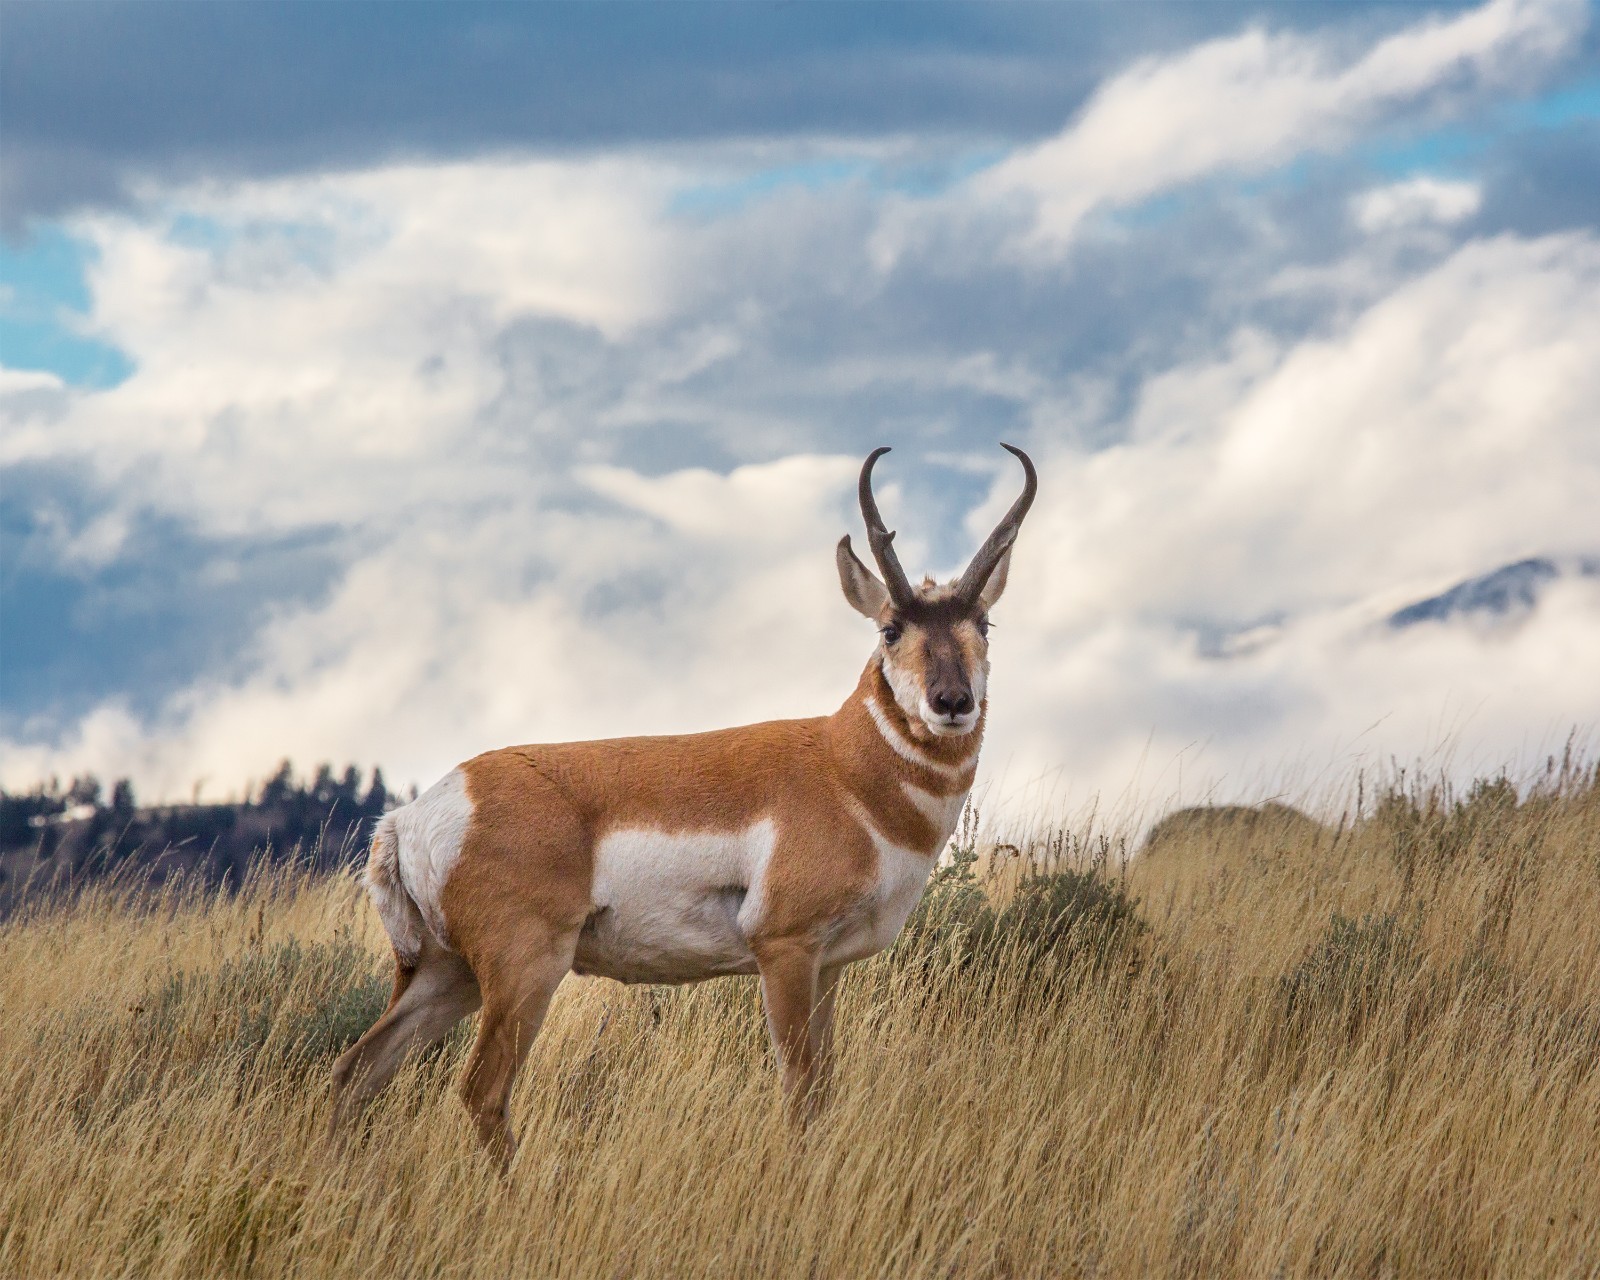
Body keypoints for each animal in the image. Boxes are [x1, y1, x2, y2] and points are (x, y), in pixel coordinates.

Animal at [329, 444, 1036, 1170]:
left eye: (983, 623)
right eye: (891, 628)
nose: (952, 702)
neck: (842, 767)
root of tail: (414, 815)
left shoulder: (831, 966)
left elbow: (825, 1090)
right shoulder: (785, 950)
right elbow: (800, 1091)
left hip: (447, 976)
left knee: (357, 1071)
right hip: (524, 968)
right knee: (480, 1090)